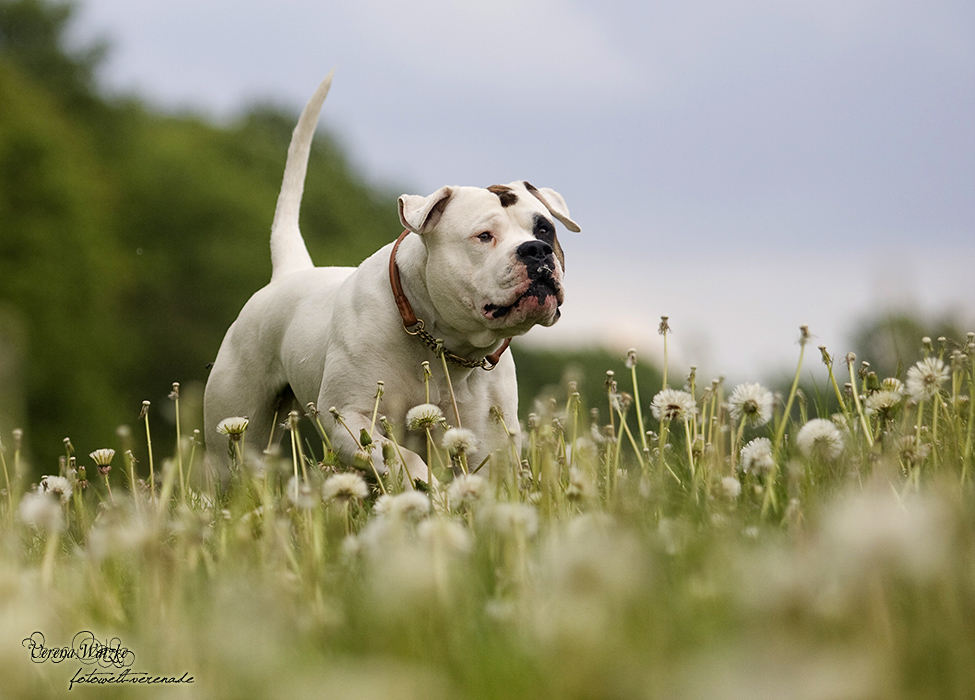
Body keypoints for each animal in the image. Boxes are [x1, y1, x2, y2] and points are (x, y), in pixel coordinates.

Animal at [202, 75, 576, 482]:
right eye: (483, 236)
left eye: (545, 230)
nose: (536, 250)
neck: (446, 346)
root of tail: (291, 271)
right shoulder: (349, 419)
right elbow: (402, 456)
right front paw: (426, 484)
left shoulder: (490, 444)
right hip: (235, 433)